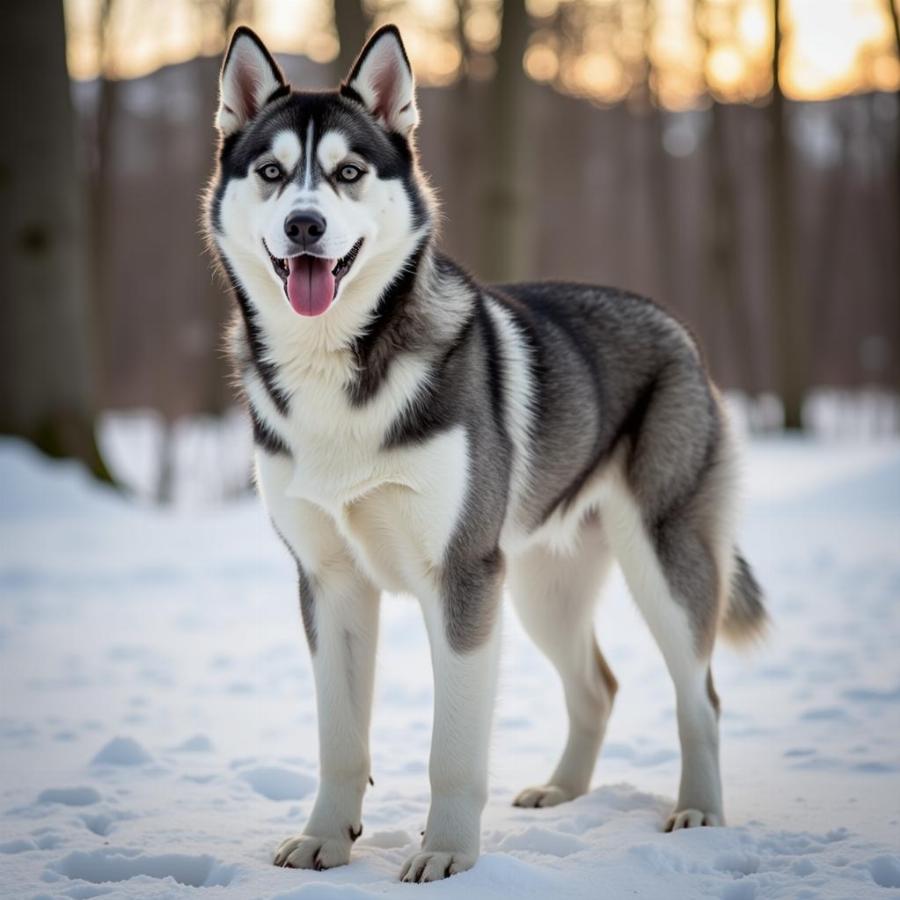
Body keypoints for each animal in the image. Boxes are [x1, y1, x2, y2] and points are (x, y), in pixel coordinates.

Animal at [206, 24, 768, 884]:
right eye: (271, 173)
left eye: (347, 173)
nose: (305, 225)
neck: (340, 368)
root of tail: (673, 323)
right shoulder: (329, 583)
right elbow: (340, 739)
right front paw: (326, 838)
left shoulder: (463, 579)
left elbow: (455, 750)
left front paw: (446, 853)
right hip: (540, 586)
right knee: (597, 686)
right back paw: (562, 792)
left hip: (660, 562)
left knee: (698, 696)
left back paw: (699, 811)